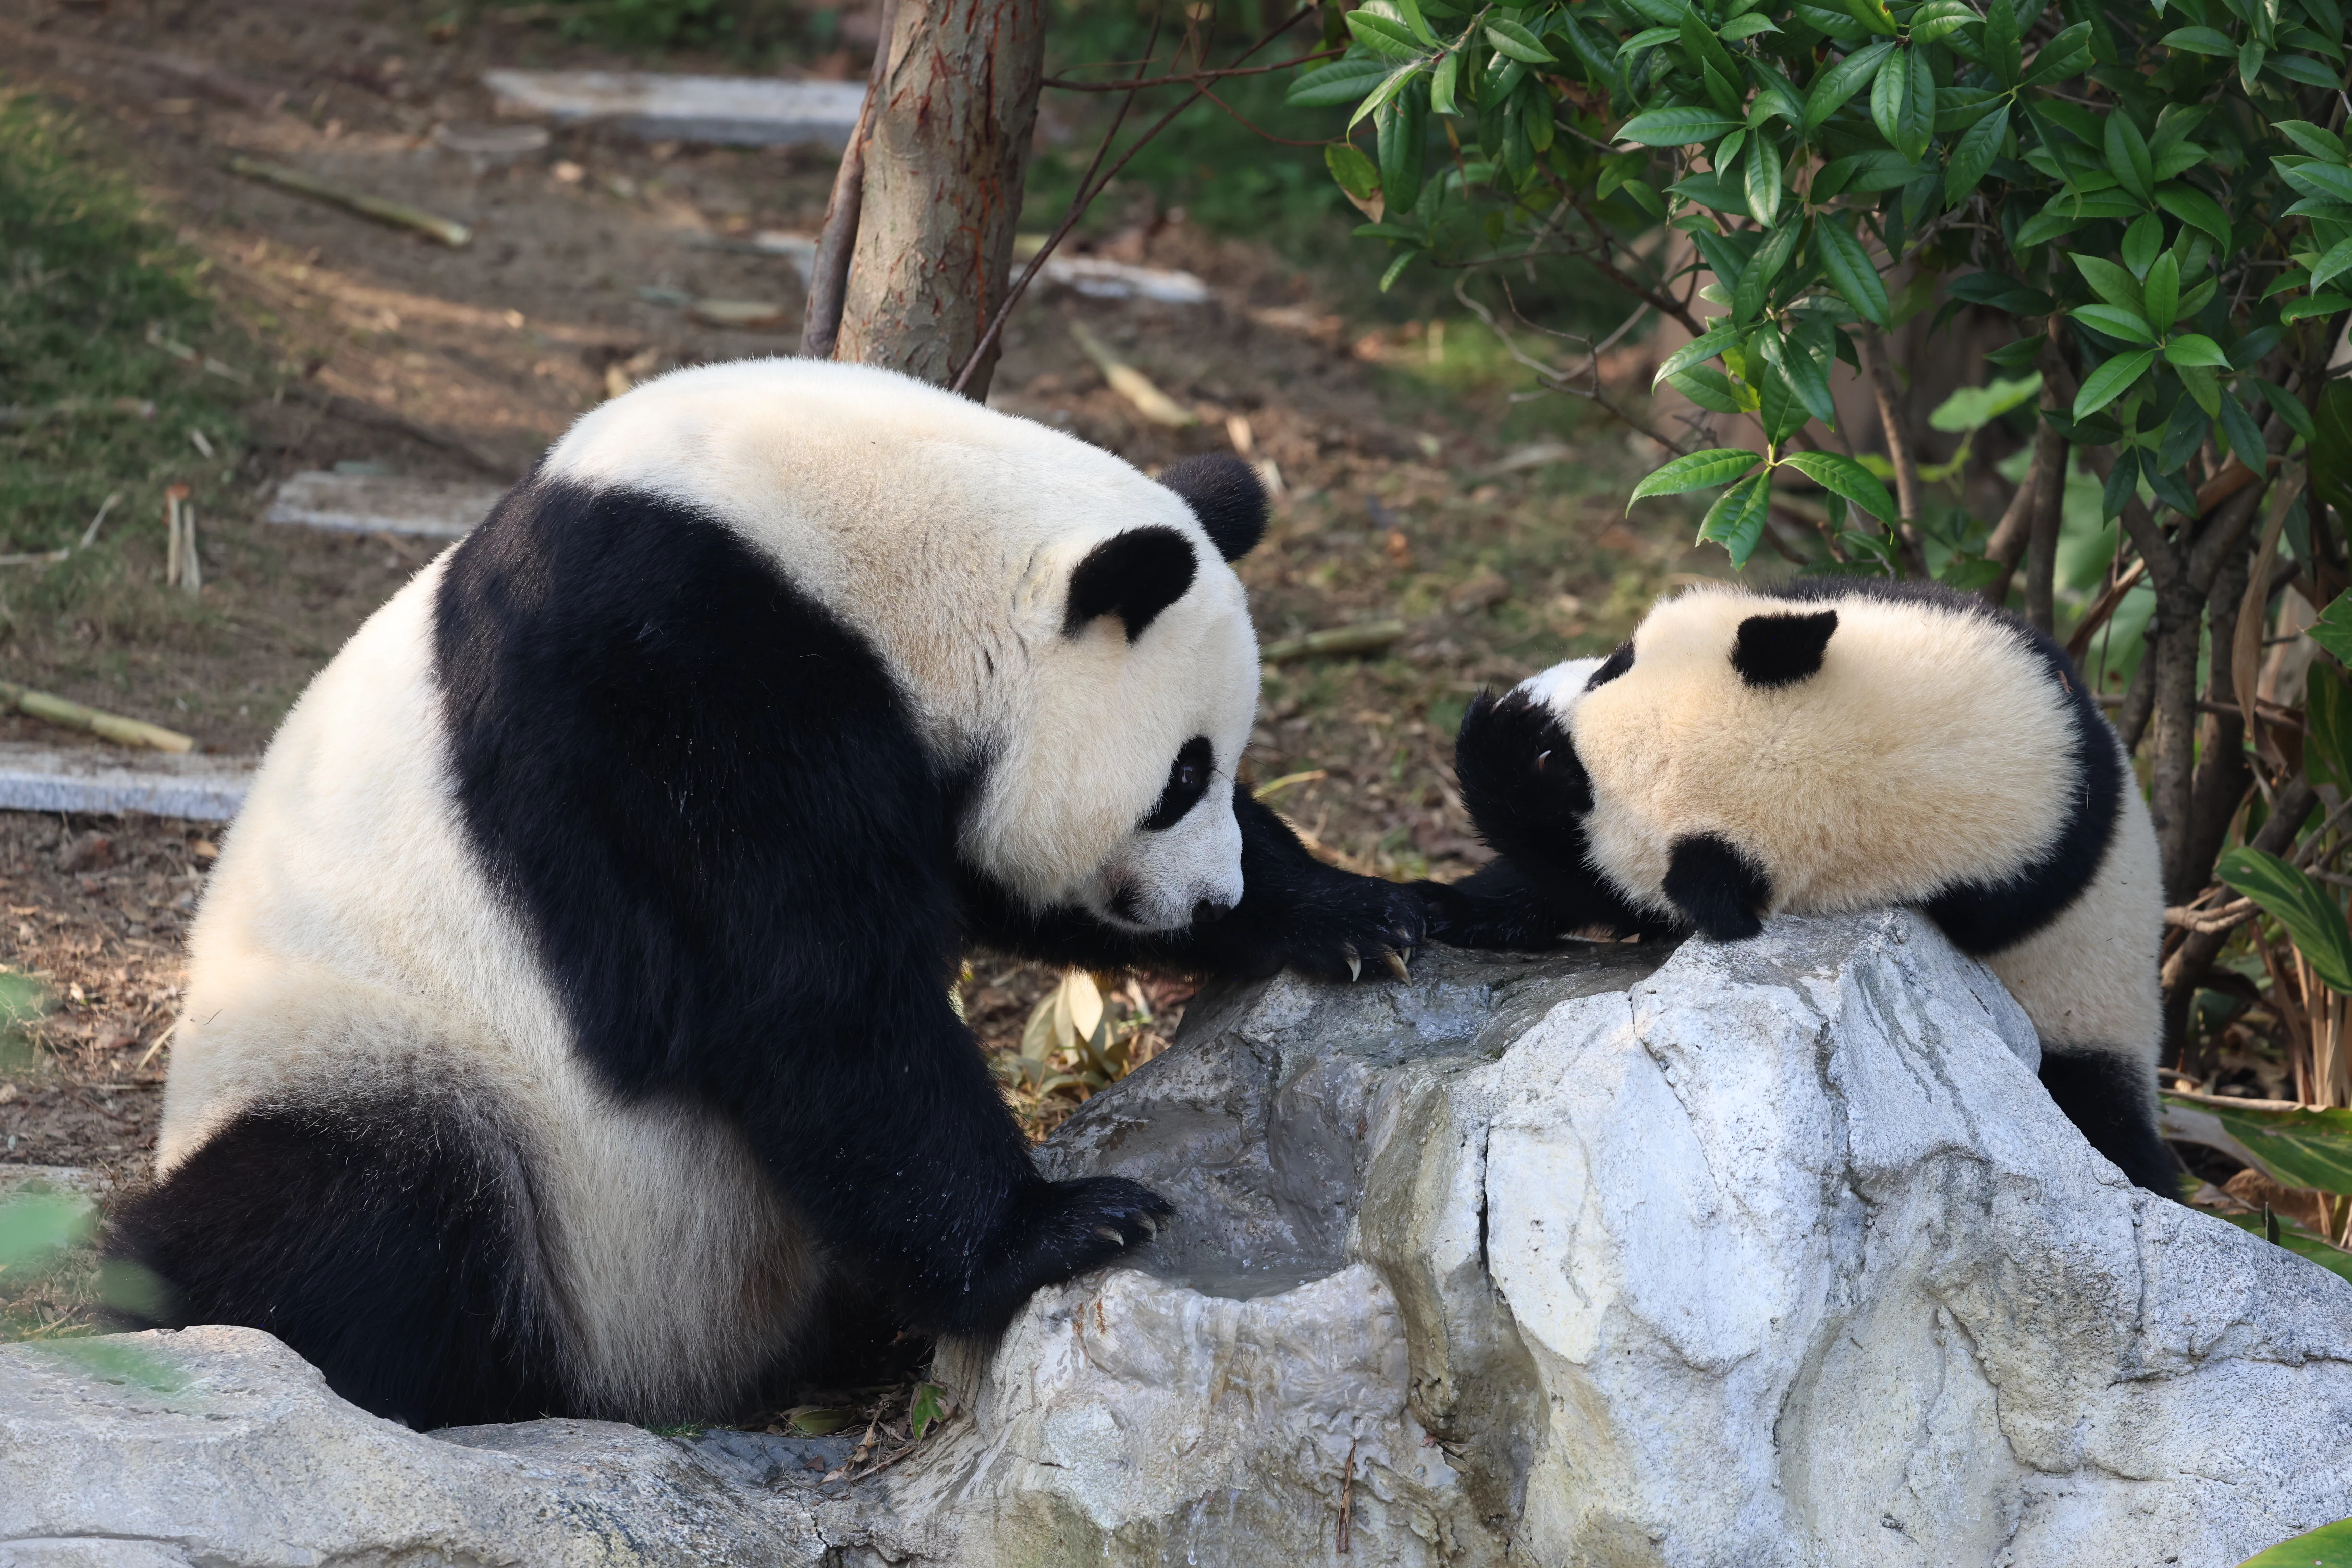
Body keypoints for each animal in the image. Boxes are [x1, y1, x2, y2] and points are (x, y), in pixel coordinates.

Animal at [107, 359, 1423, 1430]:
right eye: (1181, 775)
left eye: (1228, 768)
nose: (1206, 902)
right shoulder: (667, 684)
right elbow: (801, 990)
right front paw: (1058, 1231)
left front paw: (1359, 914)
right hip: (383, 1066)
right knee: (354, 1213)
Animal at [1422, 576, 2177, 1195]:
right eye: (1619, 664)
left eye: (1579, 786)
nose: (1521, 706)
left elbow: (1593, 885)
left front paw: (1494, 760)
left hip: (2087, 1022)